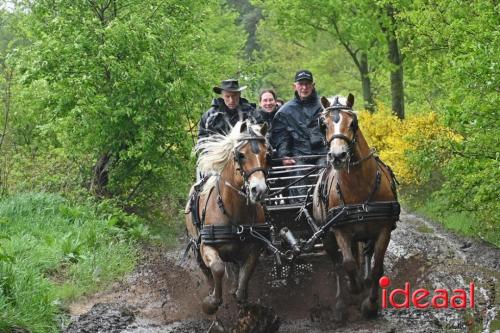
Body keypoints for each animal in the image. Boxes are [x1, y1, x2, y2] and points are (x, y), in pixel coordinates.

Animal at [184, 119, 270, 314]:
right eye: (241, 155)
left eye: (267, 154)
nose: (259, 190)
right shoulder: (206, 246)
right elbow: (217, 268)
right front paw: (211, 302)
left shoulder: (254, 247)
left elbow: (246, 272)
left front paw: (240, 296)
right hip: (195, 244)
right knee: (207, 271)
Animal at [310, 94, 400, 318]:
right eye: (323, 125)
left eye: (353, 123)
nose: (338, 156)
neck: (358, 186)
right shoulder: (340, 230)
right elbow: (348, 264)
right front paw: (354, 286)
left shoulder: (383, 229)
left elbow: (377, 267)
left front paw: (371, 304)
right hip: (327, 236)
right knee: (336, 264)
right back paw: (340, 303)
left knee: (364, 254)